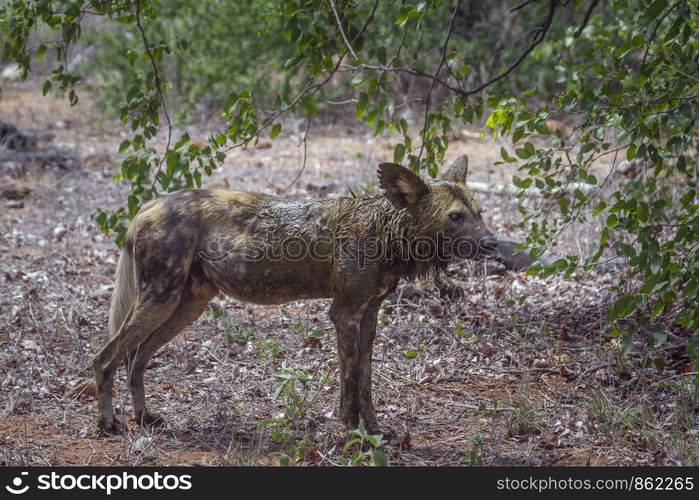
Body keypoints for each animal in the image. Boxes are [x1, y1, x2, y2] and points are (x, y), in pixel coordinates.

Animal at [94, 155, 498, 434]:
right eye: (456, 217)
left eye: (479, 213)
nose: (492, 243)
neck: (385, 233)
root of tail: (151, 204)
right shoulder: (345, 315)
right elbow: (351, 379)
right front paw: (352, 431)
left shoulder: (368, 316)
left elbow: (364, 380)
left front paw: (375, 430)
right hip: (159, 300)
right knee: (105, 358)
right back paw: (109, 425)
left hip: (185, 307)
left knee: (136, 359)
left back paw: (144, 417)